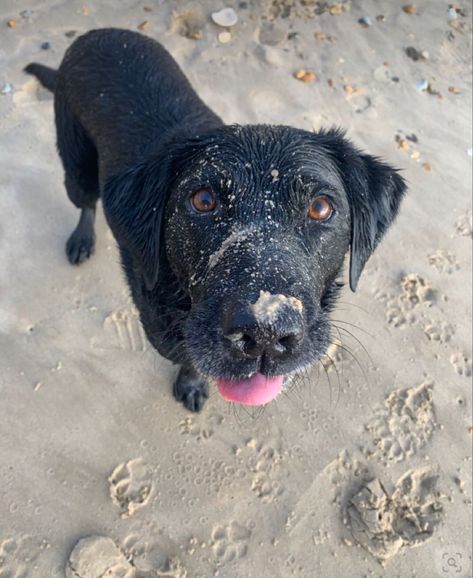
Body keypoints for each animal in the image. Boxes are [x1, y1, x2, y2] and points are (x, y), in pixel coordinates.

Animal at [24, 28, 404, 410]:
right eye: (203, 200)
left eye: (320, 207)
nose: (265, 334)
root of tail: (96, 33)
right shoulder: (165, 333)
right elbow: (190, 355)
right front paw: (192, 383)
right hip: (77, 165)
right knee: (86, 202)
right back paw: (81, 239)